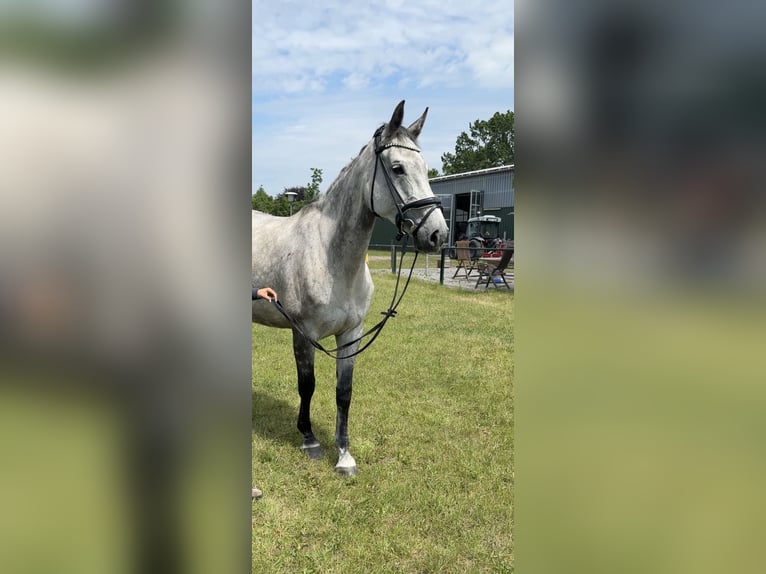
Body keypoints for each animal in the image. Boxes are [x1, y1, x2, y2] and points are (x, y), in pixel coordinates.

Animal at [252, 100, 449, 475]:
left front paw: (344, 454)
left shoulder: (351, 333)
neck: (331, 256)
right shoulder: (304, 333)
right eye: (398, 168)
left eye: (426, 168)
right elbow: (308, 385)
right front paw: (309, 440)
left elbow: (344, 391)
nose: (437, 235)